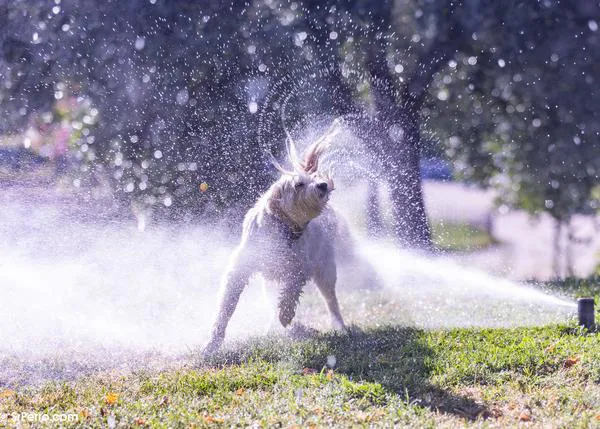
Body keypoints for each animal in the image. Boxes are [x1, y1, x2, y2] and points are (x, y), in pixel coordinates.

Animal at [204, 121, 350, 354]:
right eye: (298, 184)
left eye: (313, 178)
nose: (323, 185)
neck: (282, 229)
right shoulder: (241, 266)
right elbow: (226, 306)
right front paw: (213, 341)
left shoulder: (299, 267)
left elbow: (291, 291)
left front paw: (286, 316)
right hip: (270, 281)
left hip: (325, 269)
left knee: (331, 301)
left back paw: (339, 326)